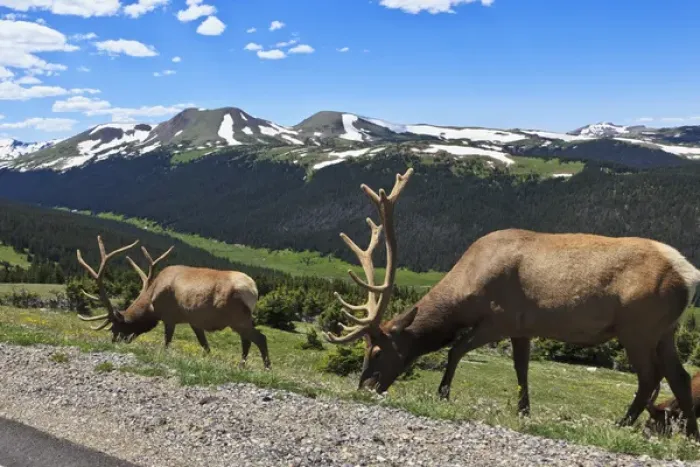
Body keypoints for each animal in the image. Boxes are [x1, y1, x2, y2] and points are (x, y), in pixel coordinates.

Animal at [76, 236, 271, 369]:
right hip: (242, 320)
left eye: (117, 326)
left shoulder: (169, 317)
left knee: (260, 338)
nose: (114, 341)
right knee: (247, 340)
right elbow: (205, 345)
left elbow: (167, 341)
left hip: (238, 318)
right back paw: (242, 365)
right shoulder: (194, 320)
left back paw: (265, 367)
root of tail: (253, 290)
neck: (151, 303)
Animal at [324, 167, 700, 439]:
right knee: (680, 376)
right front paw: (523, 411)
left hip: (639, 327)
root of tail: (689, 275)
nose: (364, 388)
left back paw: (621, 424)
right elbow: (521, 368)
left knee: (650, 377)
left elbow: (455, 350)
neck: (468, 288)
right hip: (666, 329)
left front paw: (443, 395)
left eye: (377, 351)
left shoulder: (499, 318)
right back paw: (690, 435)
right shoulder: (523, 327)